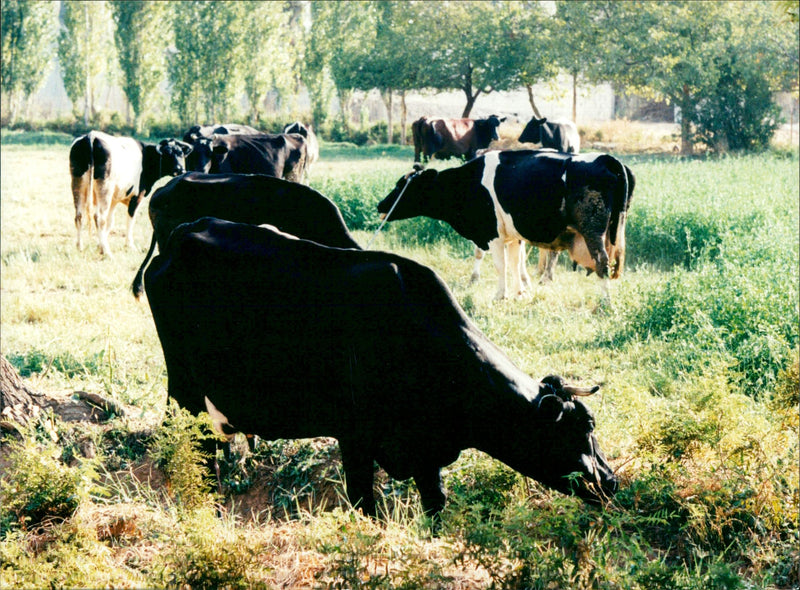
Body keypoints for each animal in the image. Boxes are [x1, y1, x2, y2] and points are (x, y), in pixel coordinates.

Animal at [145, 216, 620, 520]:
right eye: (581, 429)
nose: (611, 481)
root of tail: (184, 230)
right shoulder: (354, 436)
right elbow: (364, 506)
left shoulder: (425, 452)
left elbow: (435, 506)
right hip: (185, 392)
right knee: (192, 451)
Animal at [378, 150, 636, 302]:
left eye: (402, 185)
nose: (381, 205)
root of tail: (606, 158)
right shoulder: (513, 236)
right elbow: (514, 264)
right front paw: (520, 292)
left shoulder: (492, 235)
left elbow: (501, 265)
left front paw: (500, 295)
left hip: (593, 231)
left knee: (602, 262)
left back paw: (604, 304)